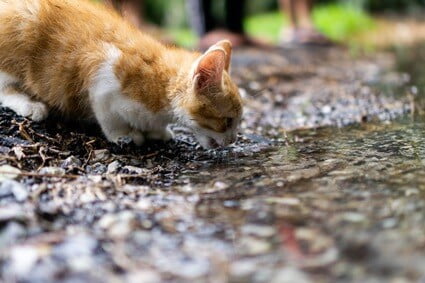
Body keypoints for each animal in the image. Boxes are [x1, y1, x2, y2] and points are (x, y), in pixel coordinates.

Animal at [0, 0, 242, 150]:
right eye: (228, 121)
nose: (233, 140)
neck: (161, 87)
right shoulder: (101, 72)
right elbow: (109, 116)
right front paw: (124, 134)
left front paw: (156, 131)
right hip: (21, 30)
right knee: (4, 88)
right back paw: (30, 104)